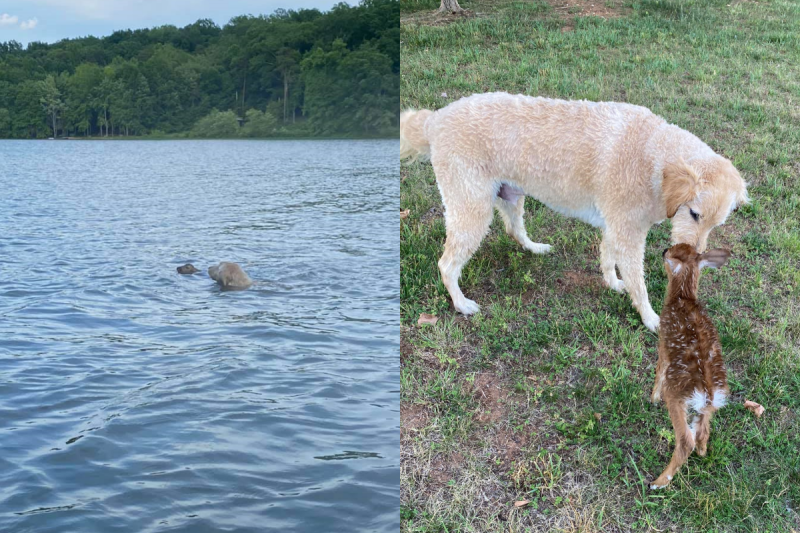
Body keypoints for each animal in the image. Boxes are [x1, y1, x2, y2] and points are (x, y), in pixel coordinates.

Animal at [404, 93, 748, 330]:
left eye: (716, 224)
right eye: (694, 214)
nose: (695, 258)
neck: (654, 155)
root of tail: (435, 120)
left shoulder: (616, 227)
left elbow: (608, 258)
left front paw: (613, 284)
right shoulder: (628, 234)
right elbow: (638, 283)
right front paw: (650, 318)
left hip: (510, 196)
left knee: (514, 230)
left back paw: (535, 248)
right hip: (471, 211)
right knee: (447, 264)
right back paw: (461, 304)